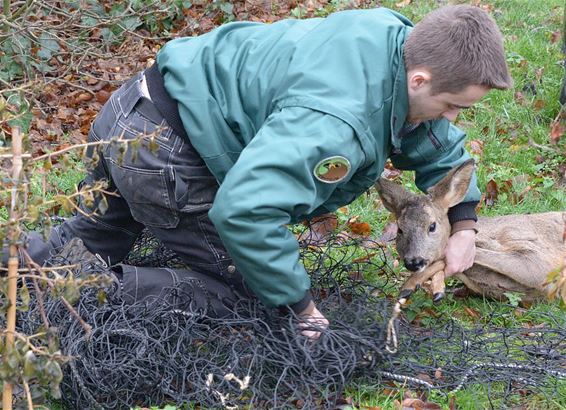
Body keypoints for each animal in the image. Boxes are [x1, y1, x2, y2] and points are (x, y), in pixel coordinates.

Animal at [374, 160, 564, 304]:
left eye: (432, 226)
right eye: (400, 229)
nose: (414, 262)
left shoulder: (537, 257)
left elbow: (454, 256)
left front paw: (410, 286)